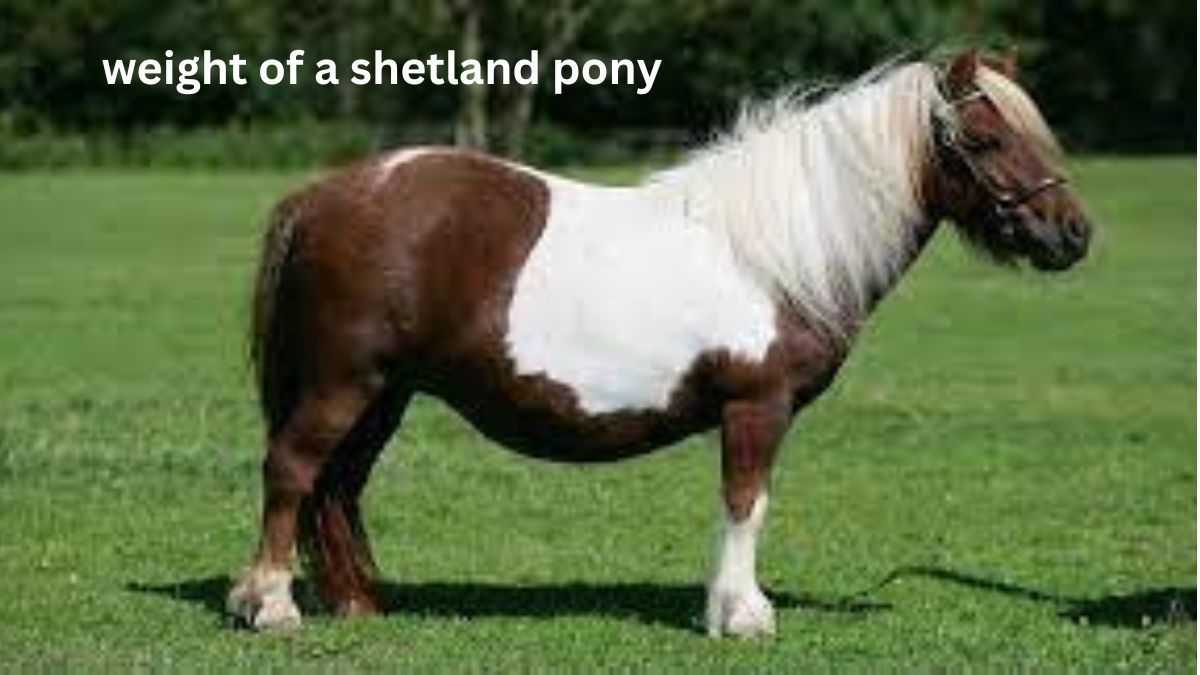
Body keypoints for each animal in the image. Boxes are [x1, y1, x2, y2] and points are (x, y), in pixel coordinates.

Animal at [227, 50, 1091, 637]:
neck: (772, 252)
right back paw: (270, 604)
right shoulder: (756, 404)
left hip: (386, 393)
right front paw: (742, 613)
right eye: (986, 139)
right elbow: (746, 502)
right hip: (343, 382)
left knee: (338, 485)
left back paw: (355, 603)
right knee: (293, 469)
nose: (1074, 235)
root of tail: (324, 195)